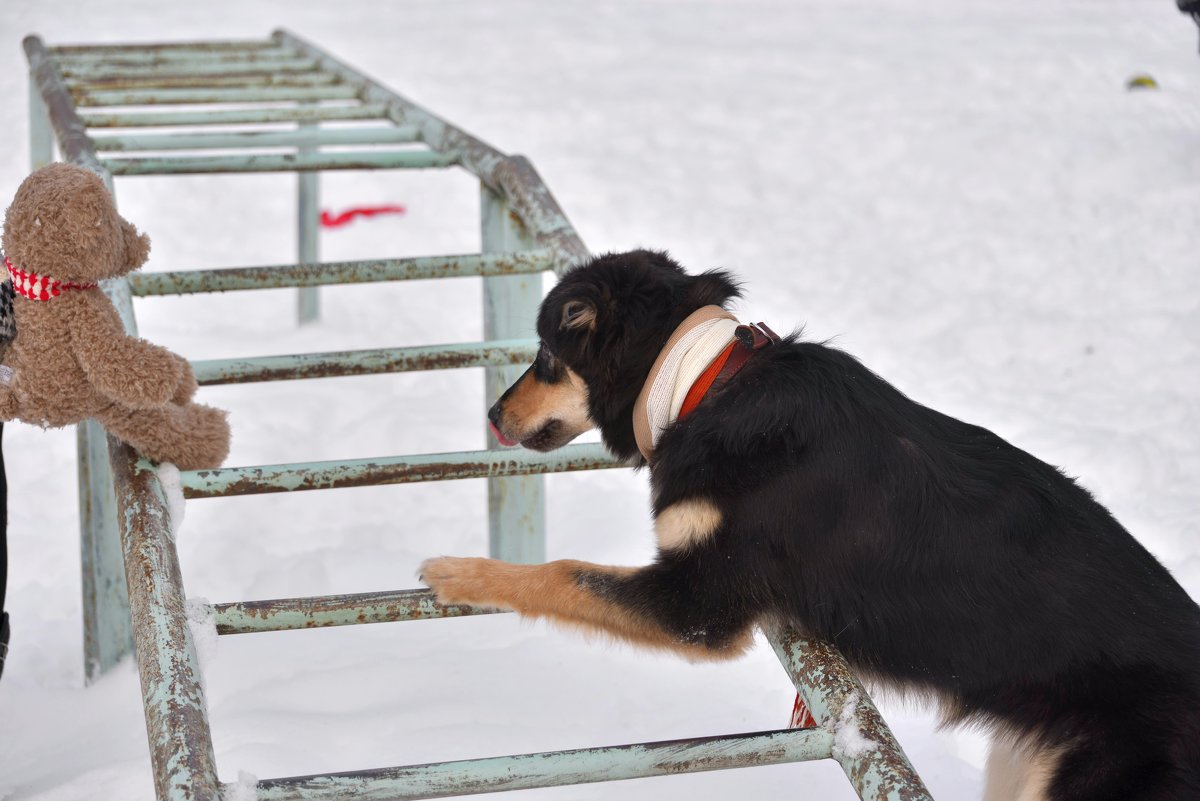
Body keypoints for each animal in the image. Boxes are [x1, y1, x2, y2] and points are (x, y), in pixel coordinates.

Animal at [420, 250, 1200, 801]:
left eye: (547, 355)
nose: (492, 414)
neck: (703, 382)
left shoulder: (698, 607)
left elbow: (560, 574)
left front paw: (460, 572)